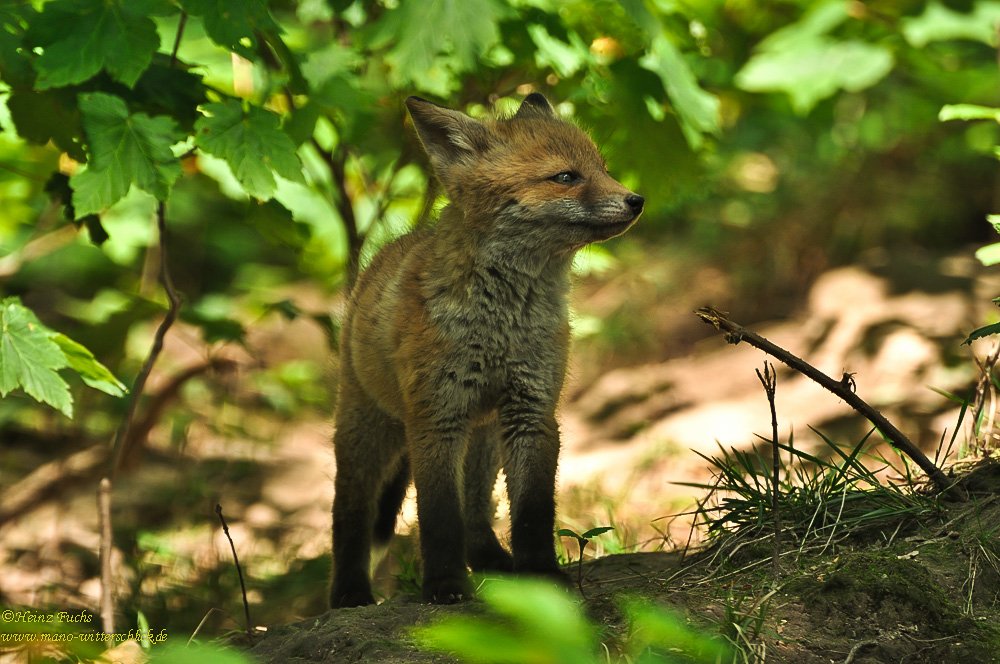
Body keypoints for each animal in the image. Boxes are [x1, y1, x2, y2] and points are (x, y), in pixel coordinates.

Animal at [332, 93, 644, 608]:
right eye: (566, 177)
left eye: (603, 169)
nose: (637, 200)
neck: (503, 324)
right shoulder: (436, 419)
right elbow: (439, 518)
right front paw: (444, 586)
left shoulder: (531, 411)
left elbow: (533, 513)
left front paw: (541, 576)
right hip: (368, 435)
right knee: (348, 516)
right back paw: (348, 594)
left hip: (482, 438)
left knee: (476, 511)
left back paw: (493, 562)